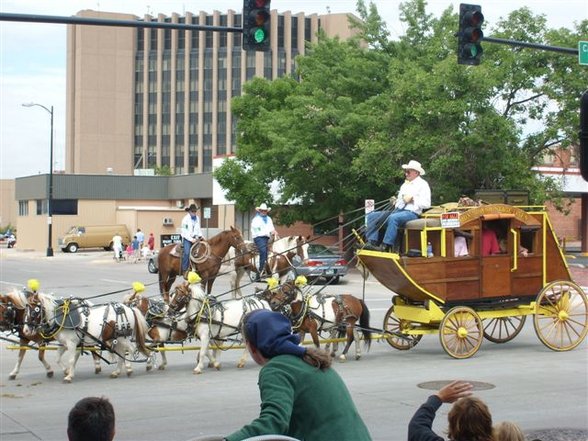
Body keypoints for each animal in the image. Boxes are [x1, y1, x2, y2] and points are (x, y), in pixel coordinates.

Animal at [23, 292, 152, 382]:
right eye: (25, 310)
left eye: (34, 311)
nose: (25, 330)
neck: (62, 317)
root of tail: (129, 308)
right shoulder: (64, 344)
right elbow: (58, 358)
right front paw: (67, 371)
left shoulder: (71, 343)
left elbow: (71, 359)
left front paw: (69, 376)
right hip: (116, 338)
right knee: (121, 352)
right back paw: (117, 372)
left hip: (122, 337)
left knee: (131, 349)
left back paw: (129, 368)